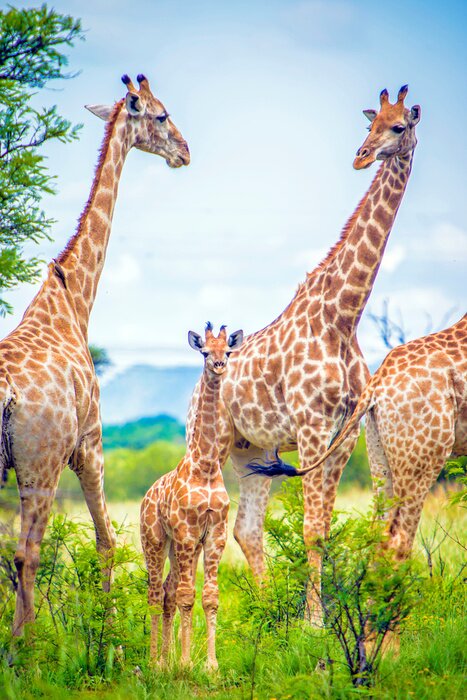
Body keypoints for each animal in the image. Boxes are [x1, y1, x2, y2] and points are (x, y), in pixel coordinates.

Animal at [0, 73, 189, 636]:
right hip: (39, 465)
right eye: (162, 114)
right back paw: (24, 645)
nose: (185, 152)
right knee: (27, 554)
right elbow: (106, 544)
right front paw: (109, 639)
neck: (73, 300)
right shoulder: (90, 443)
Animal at [141, 323, 244, 670]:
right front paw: (186, 664)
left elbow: (209, 596)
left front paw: (210, 666)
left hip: (180, 548)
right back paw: (155, 662)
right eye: (204, 352)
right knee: (155, 594)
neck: (207, 466)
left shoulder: (214, 533)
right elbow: (188, 596)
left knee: (168, 591)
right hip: (155, 540)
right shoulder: (186, 532)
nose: (219, 366)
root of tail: (146, 496)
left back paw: (165, 659)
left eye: (228, 351)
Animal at [187, 85, 421, 617]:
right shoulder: (313, 427)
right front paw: (315, 620)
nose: (361, 156)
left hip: (251, 452)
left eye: (399, 126)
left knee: (247, 529)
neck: (343, 317)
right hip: (213, 442)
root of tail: (190, 396)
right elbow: (313, 530)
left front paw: (312, 617)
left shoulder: (342, 434)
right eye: (370, 123)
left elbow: (324, 528)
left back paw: (265, 609)